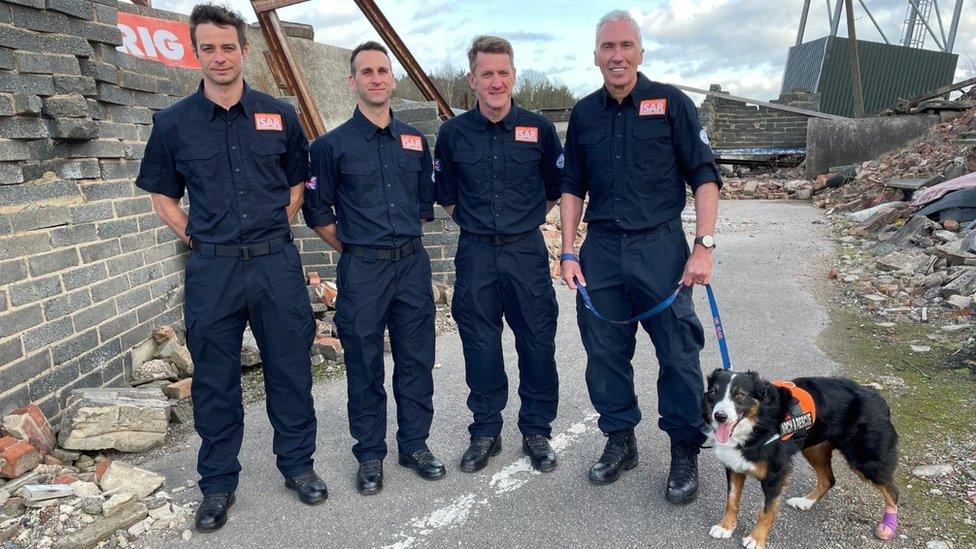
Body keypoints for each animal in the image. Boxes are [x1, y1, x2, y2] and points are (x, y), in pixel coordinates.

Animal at [700, 370, 900, 544]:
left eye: (740, 395)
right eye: (713, 393)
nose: (720, 416)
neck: (759, 423)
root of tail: (877, 396)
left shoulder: (776, 474)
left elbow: (766, 512)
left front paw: (756, 539)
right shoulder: (734, 466)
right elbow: (731, 501)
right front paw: (725, 527)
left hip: (865, 461)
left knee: (893, 492)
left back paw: (888, 526)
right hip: (815, 449)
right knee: (828, 480)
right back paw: (804, 502)